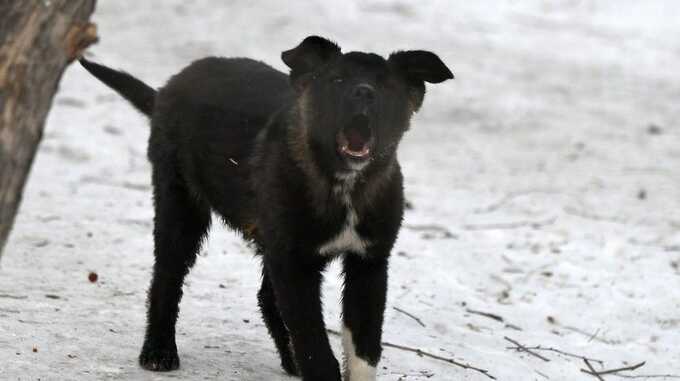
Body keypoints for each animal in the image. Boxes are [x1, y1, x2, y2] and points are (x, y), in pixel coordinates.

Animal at [79, 36, 452, 380]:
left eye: (386, 86)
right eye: (337, 80)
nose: (363, 93)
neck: (343, 185)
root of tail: (167, 88)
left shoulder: (368, 262)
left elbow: (364, 348)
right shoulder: (294, 263)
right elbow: (315, 346)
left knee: (266, 298)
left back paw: (289, 362)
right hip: (180, 204)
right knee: (166, 278)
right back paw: (158, 350)